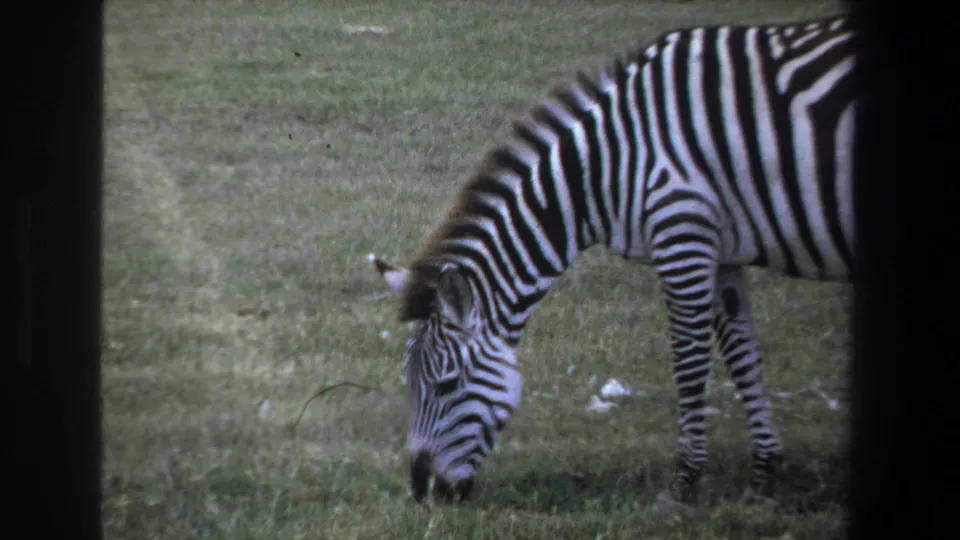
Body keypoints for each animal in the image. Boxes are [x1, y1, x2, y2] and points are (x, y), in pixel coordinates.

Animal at [370, 13, 856, 507]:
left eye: (447, 385)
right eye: (409, 384)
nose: (424, 492)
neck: (606, 166)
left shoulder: (682, 234)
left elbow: (689, 363)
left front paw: (684, 482)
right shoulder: (722, 252)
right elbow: (743, 359)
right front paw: (763, 477)